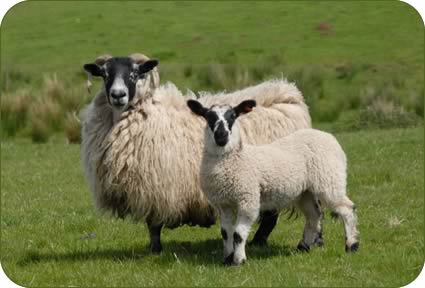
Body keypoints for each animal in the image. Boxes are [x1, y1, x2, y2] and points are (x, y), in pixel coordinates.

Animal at [80, 53, 312, 253]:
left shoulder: (157, 187)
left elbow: (154, 225)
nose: (118, 95)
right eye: (105, 74)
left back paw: (258, 243)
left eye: (135, 73)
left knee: (270, 217)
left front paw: (155, 250)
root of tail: (289, 96)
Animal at [188, 99, 358, 266]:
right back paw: (302, 247)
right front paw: (227, 259)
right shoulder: (222, 203)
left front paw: (239, 260)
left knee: (347, 208)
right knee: (314, 215)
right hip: (305, 191)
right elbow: (226, 233)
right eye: (208, 117)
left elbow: (238, 234)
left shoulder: (248, 199)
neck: (232, 162)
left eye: (233, 116)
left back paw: (352, 245)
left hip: (330, 179)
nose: (221, 136)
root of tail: (328, 136)